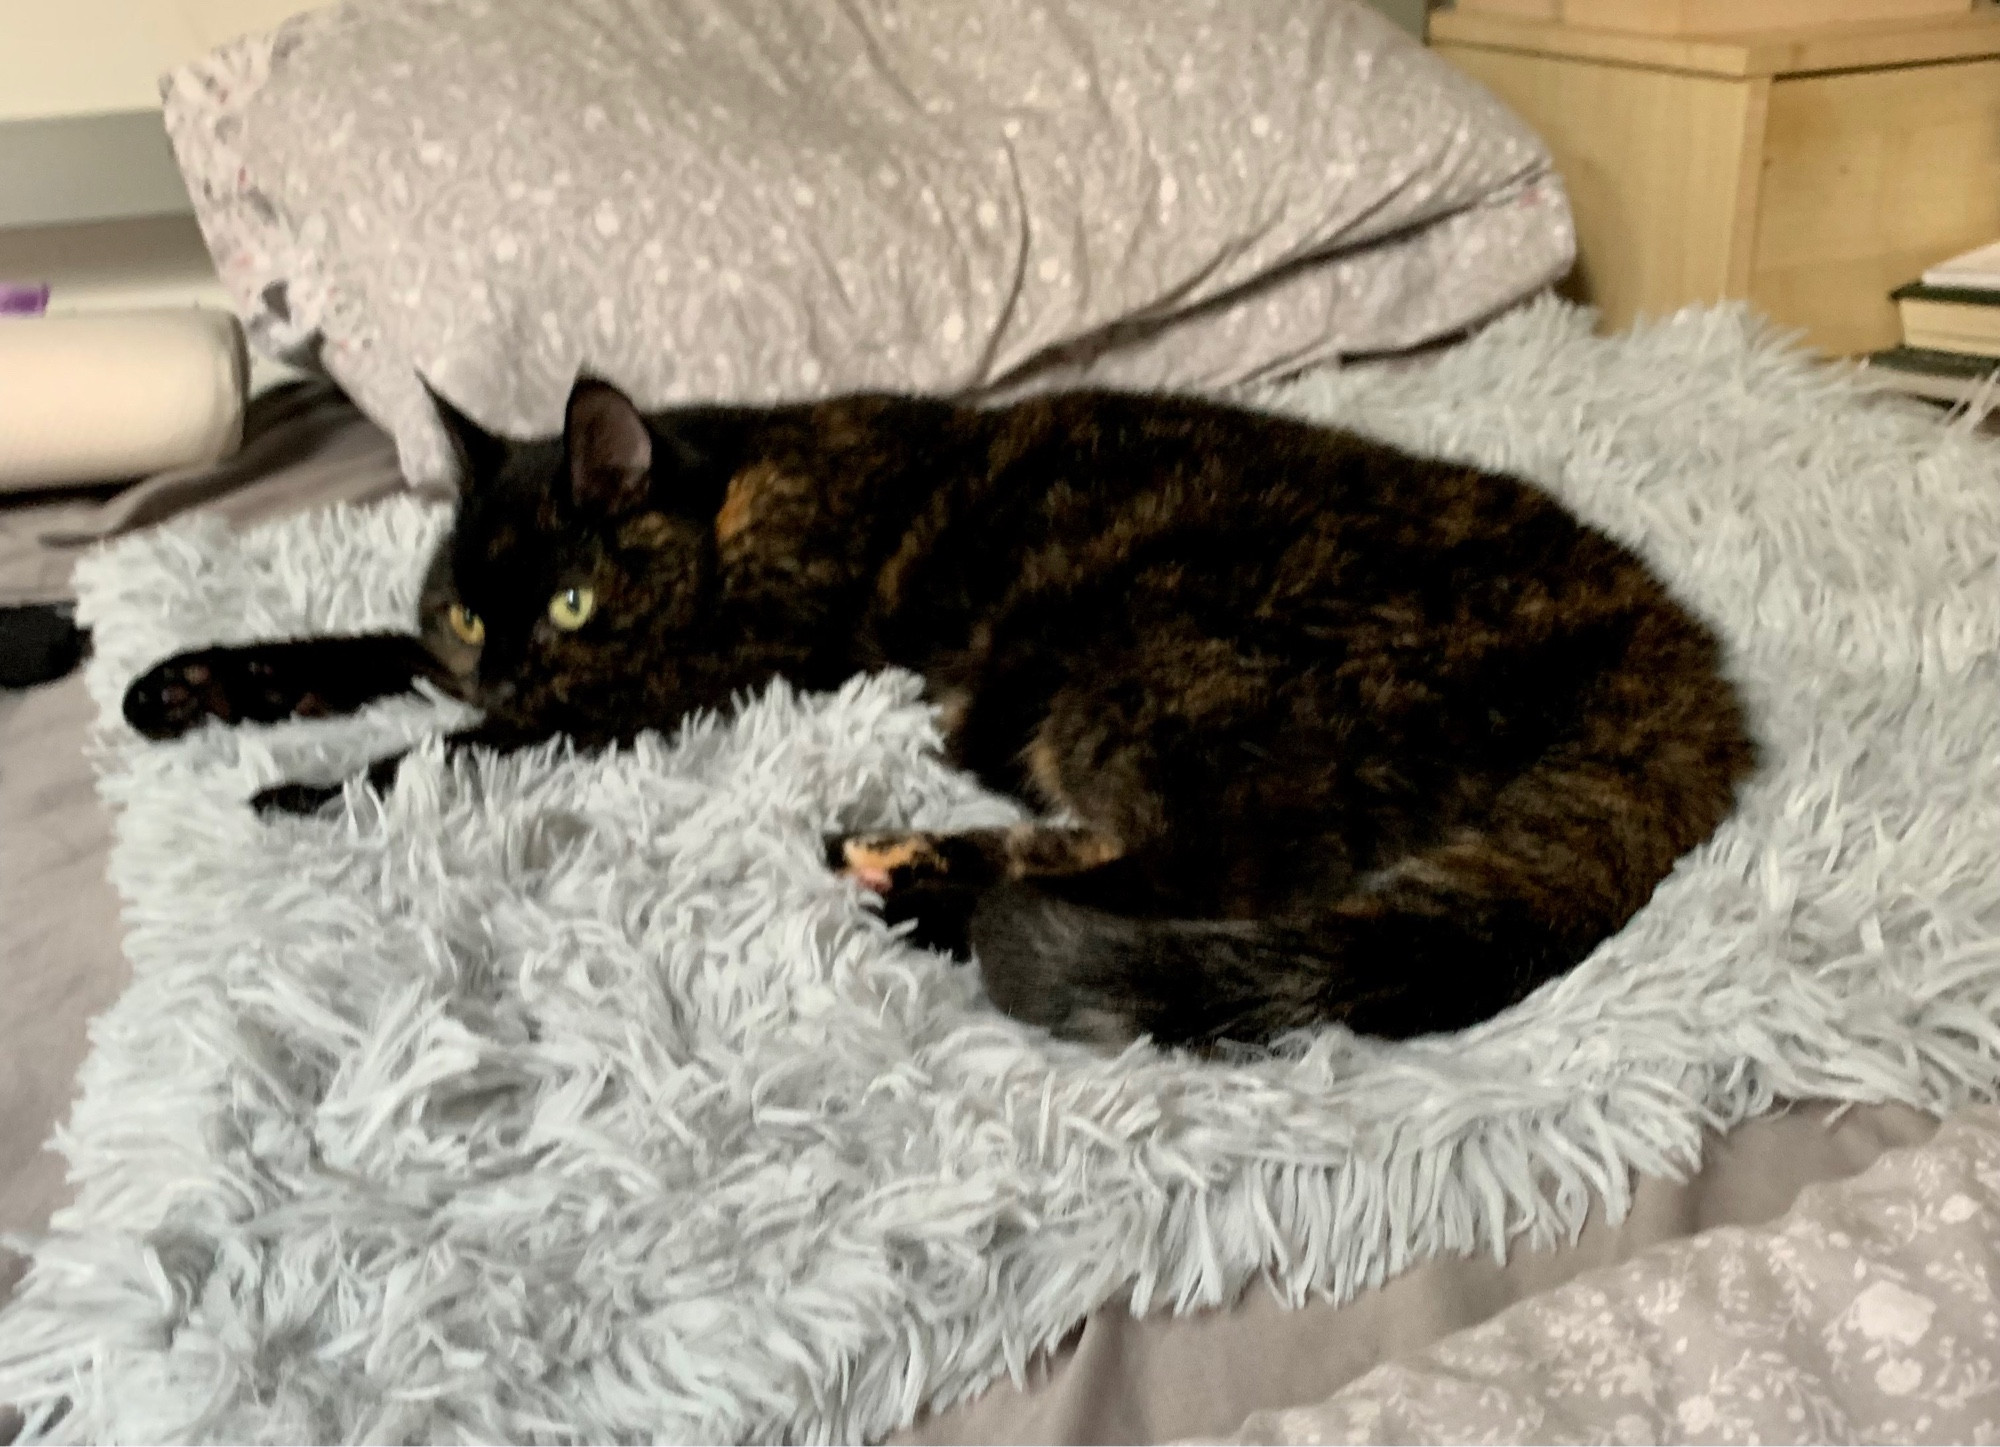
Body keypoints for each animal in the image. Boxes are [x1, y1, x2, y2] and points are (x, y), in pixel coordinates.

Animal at [121, 377, 1752, 1047]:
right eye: (472, 608)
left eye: (576, 602)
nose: (514, 661)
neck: (726, 490)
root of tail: (1668, 638)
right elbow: (361, 648)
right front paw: (191, 683)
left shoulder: (671, 685)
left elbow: (441, 746)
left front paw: (305, 789)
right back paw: (911, 863)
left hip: (1141, 665)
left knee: (1223, 861)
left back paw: (925, 893)